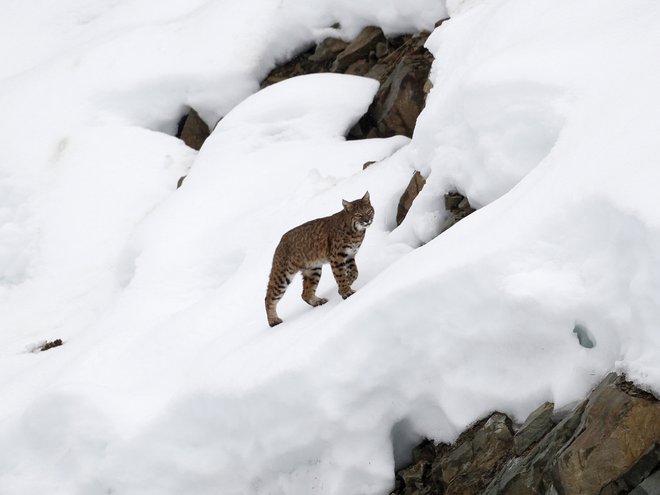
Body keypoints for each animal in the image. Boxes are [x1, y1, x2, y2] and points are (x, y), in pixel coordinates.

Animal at [266, 192, 374, 328]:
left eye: (368, 211)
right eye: (359, 215)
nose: (367, 220)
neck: (356, 231)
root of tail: (280, 241)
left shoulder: (349, 256)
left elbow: (355, 273)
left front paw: (345, 286)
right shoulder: (337, 257)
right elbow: (340, 276)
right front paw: (346, 292)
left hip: (313, 269)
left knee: (305, 293)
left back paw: (317, 301)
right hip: (283, 275)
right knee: (268, 296)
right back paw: (273, 321)